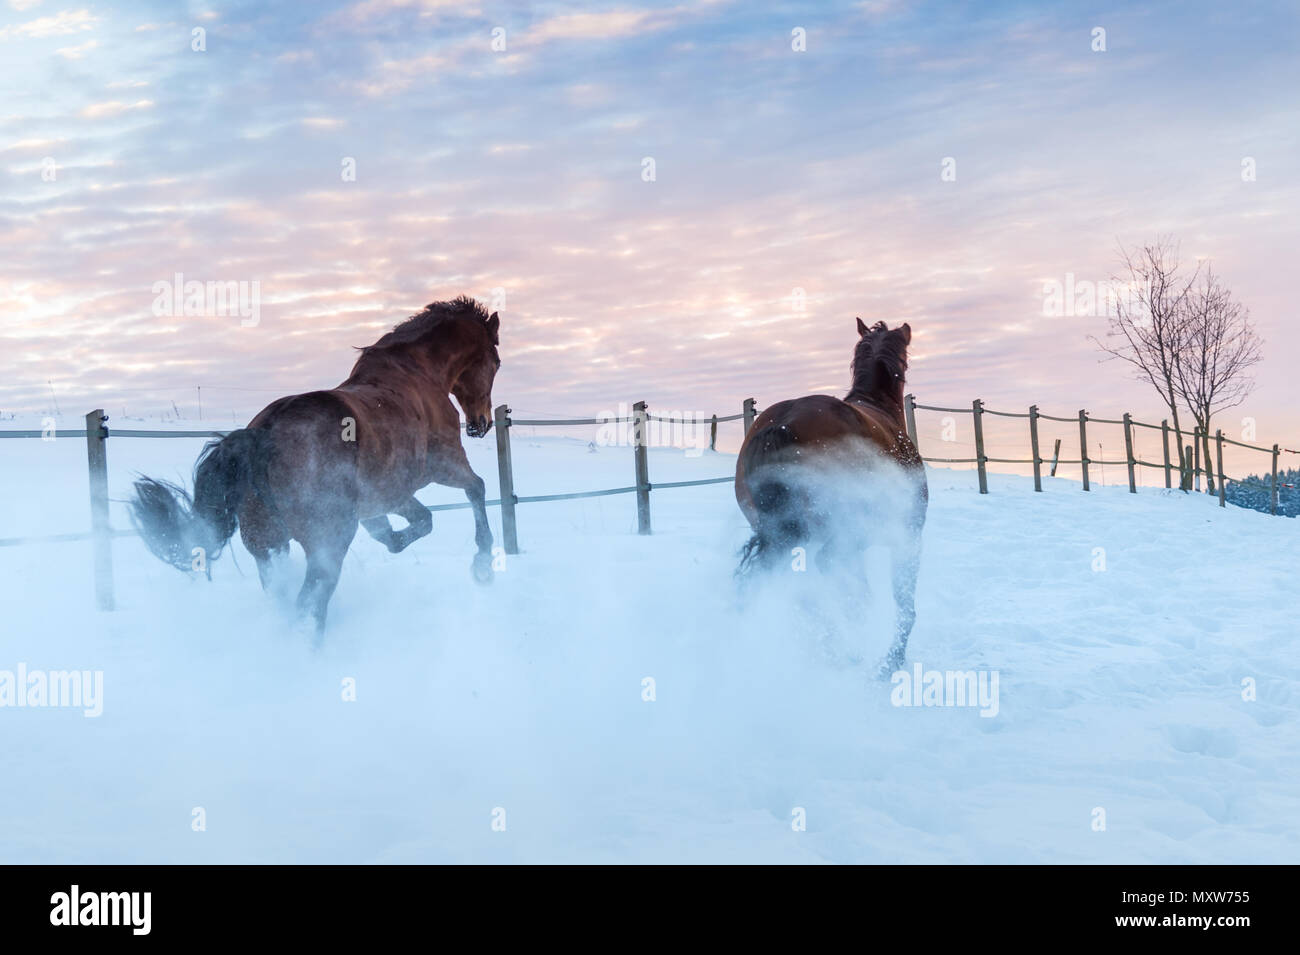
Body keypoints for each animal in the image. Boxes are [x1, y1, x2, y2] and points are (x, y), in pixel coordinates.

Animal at [128, 294, 501, 639]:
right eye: (495, 363)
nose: (481, 425)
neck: (417, 373)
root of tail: (262, 435)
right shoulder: (445, 464)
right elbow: (476, 488)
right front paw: (483, 565)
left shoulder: (389, 494)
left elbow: (417, 522)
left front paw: (390, 535)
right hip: (325, 544)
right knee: (310, 603)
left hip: (269, 547)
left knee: (288, 599)